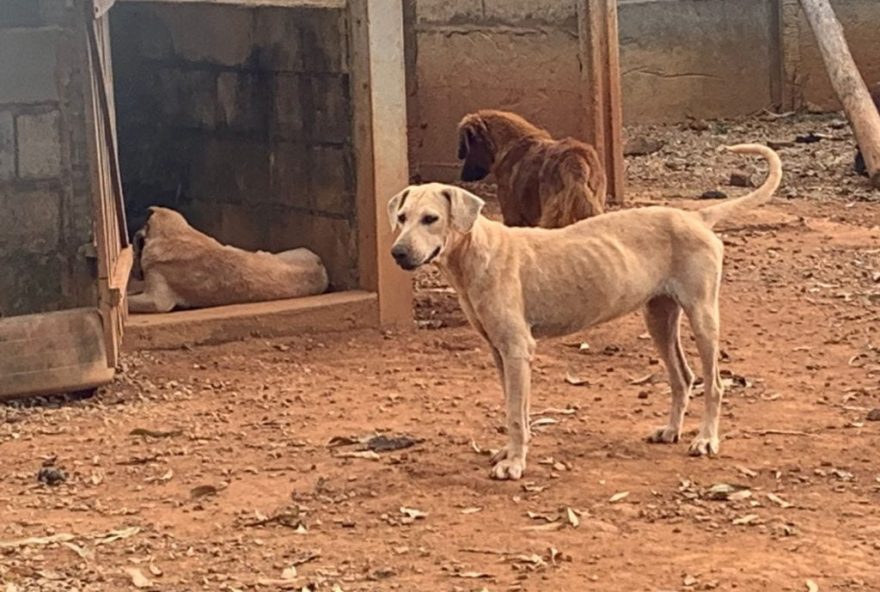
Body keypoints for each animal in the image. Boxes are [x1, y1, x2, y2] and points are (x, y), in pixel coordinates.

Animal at [388, 145, 780, 480]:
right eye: (402, 217)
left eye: (431, 218)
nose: (397, 253)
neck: (476, 251)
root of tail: (695, 216)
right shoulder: (500, 352)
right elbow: (518, 410)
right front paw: (512, 452)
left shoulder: (517, 350)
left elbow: (514, 413)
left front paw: (514, 464)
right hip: (659, 319)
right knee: (682, 378)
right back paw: (672, 430)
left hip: (702, 316)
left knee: (714, 383)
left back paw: (706, 439)